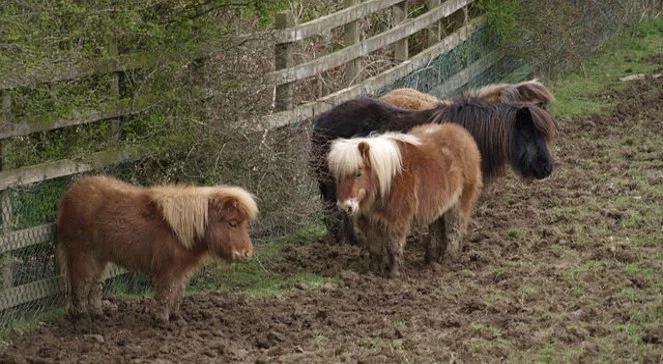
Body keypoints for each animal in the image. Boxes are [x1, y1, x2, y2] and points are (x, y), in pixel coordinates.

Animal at [55, 176, 258, 322]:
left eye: (244, 223)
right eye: (232, 223)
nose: (246, 253)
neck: (181, 231)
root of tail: (69, 194)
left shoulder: (182, 271)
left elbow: (177, 294)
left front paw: (176, 318)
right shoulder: (168, 270)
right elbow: (166, 294)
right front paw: (163, 320)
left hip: (100, 258)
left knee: (95, 287)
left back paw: (98, 315)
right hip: (83, 255)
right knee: (81, 285)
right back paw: (84, 318)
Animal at [328, 123, 480, 278]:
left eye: (358, 173)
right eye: (337, 176)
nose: (345, 207)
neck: (388, 181)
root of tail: (462, 134)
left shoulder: (397, 220)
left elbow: (394, 246)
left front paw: (395, 273)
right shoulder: (369, 221)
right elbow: (375, 248)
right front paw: (374, 271)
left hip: (458, 204)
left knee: (454, 230)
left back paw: (448, 260)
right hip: (439, 207)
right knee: (436, 230)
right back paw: (431, 260)